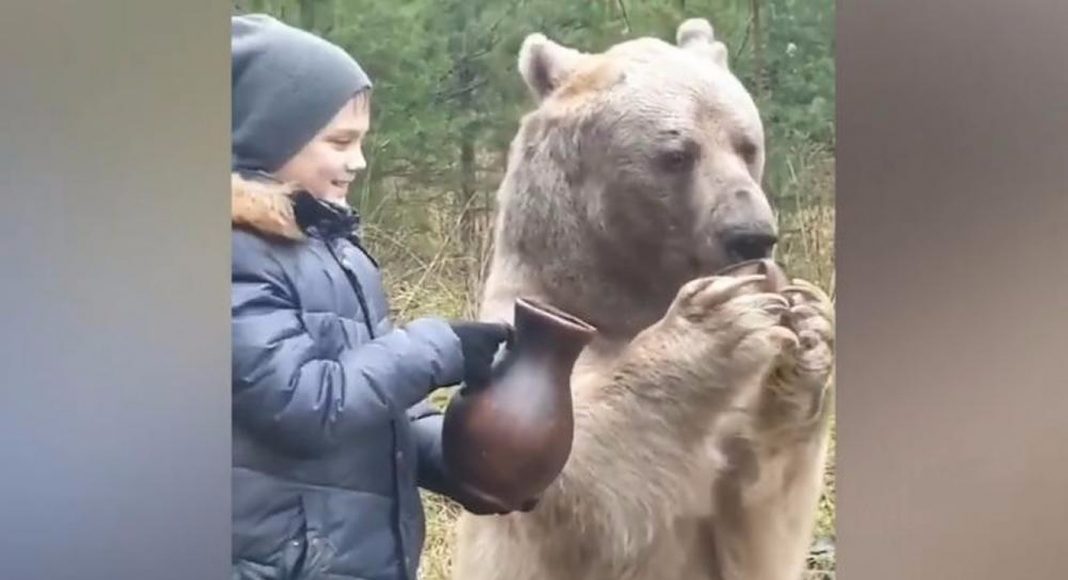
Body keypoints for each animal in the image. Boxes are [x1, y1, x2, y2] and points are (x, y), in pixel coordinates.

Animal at [450, 17, 833, 580]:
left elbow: (762, 518)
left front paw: (811, 330)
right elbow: (571, 467)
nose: (752, 235)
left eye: (747, 145)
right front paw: (718, 322)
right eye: (677, 154)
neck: (624, 296)